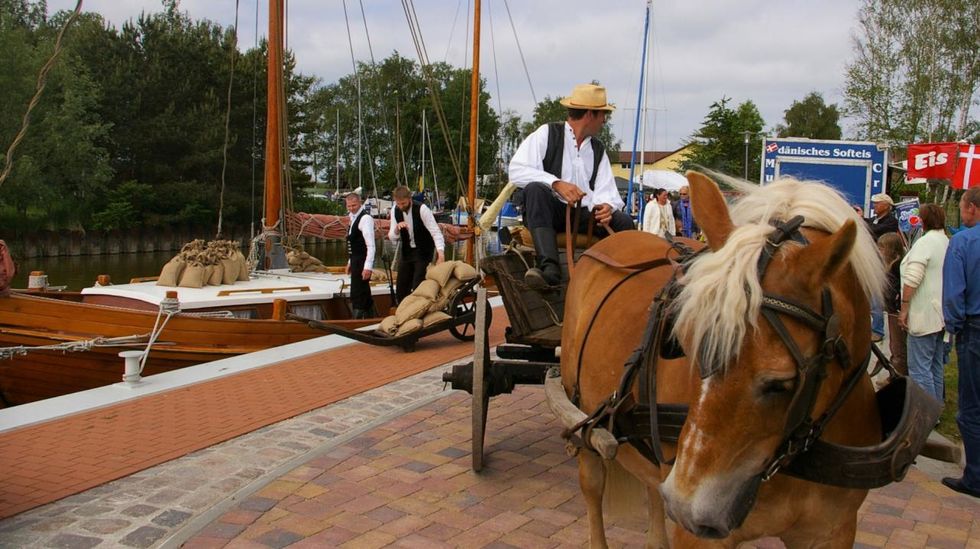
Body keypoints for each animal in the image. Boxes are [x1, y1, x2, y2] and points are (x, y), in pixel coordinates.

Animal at [560, 170, 888, 544]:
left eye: (780, 383)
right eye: (684, 344)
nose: (686, 505)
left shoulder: (833, 530)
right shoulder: (695, 536)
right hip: (582, 418)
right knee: (593, 486)